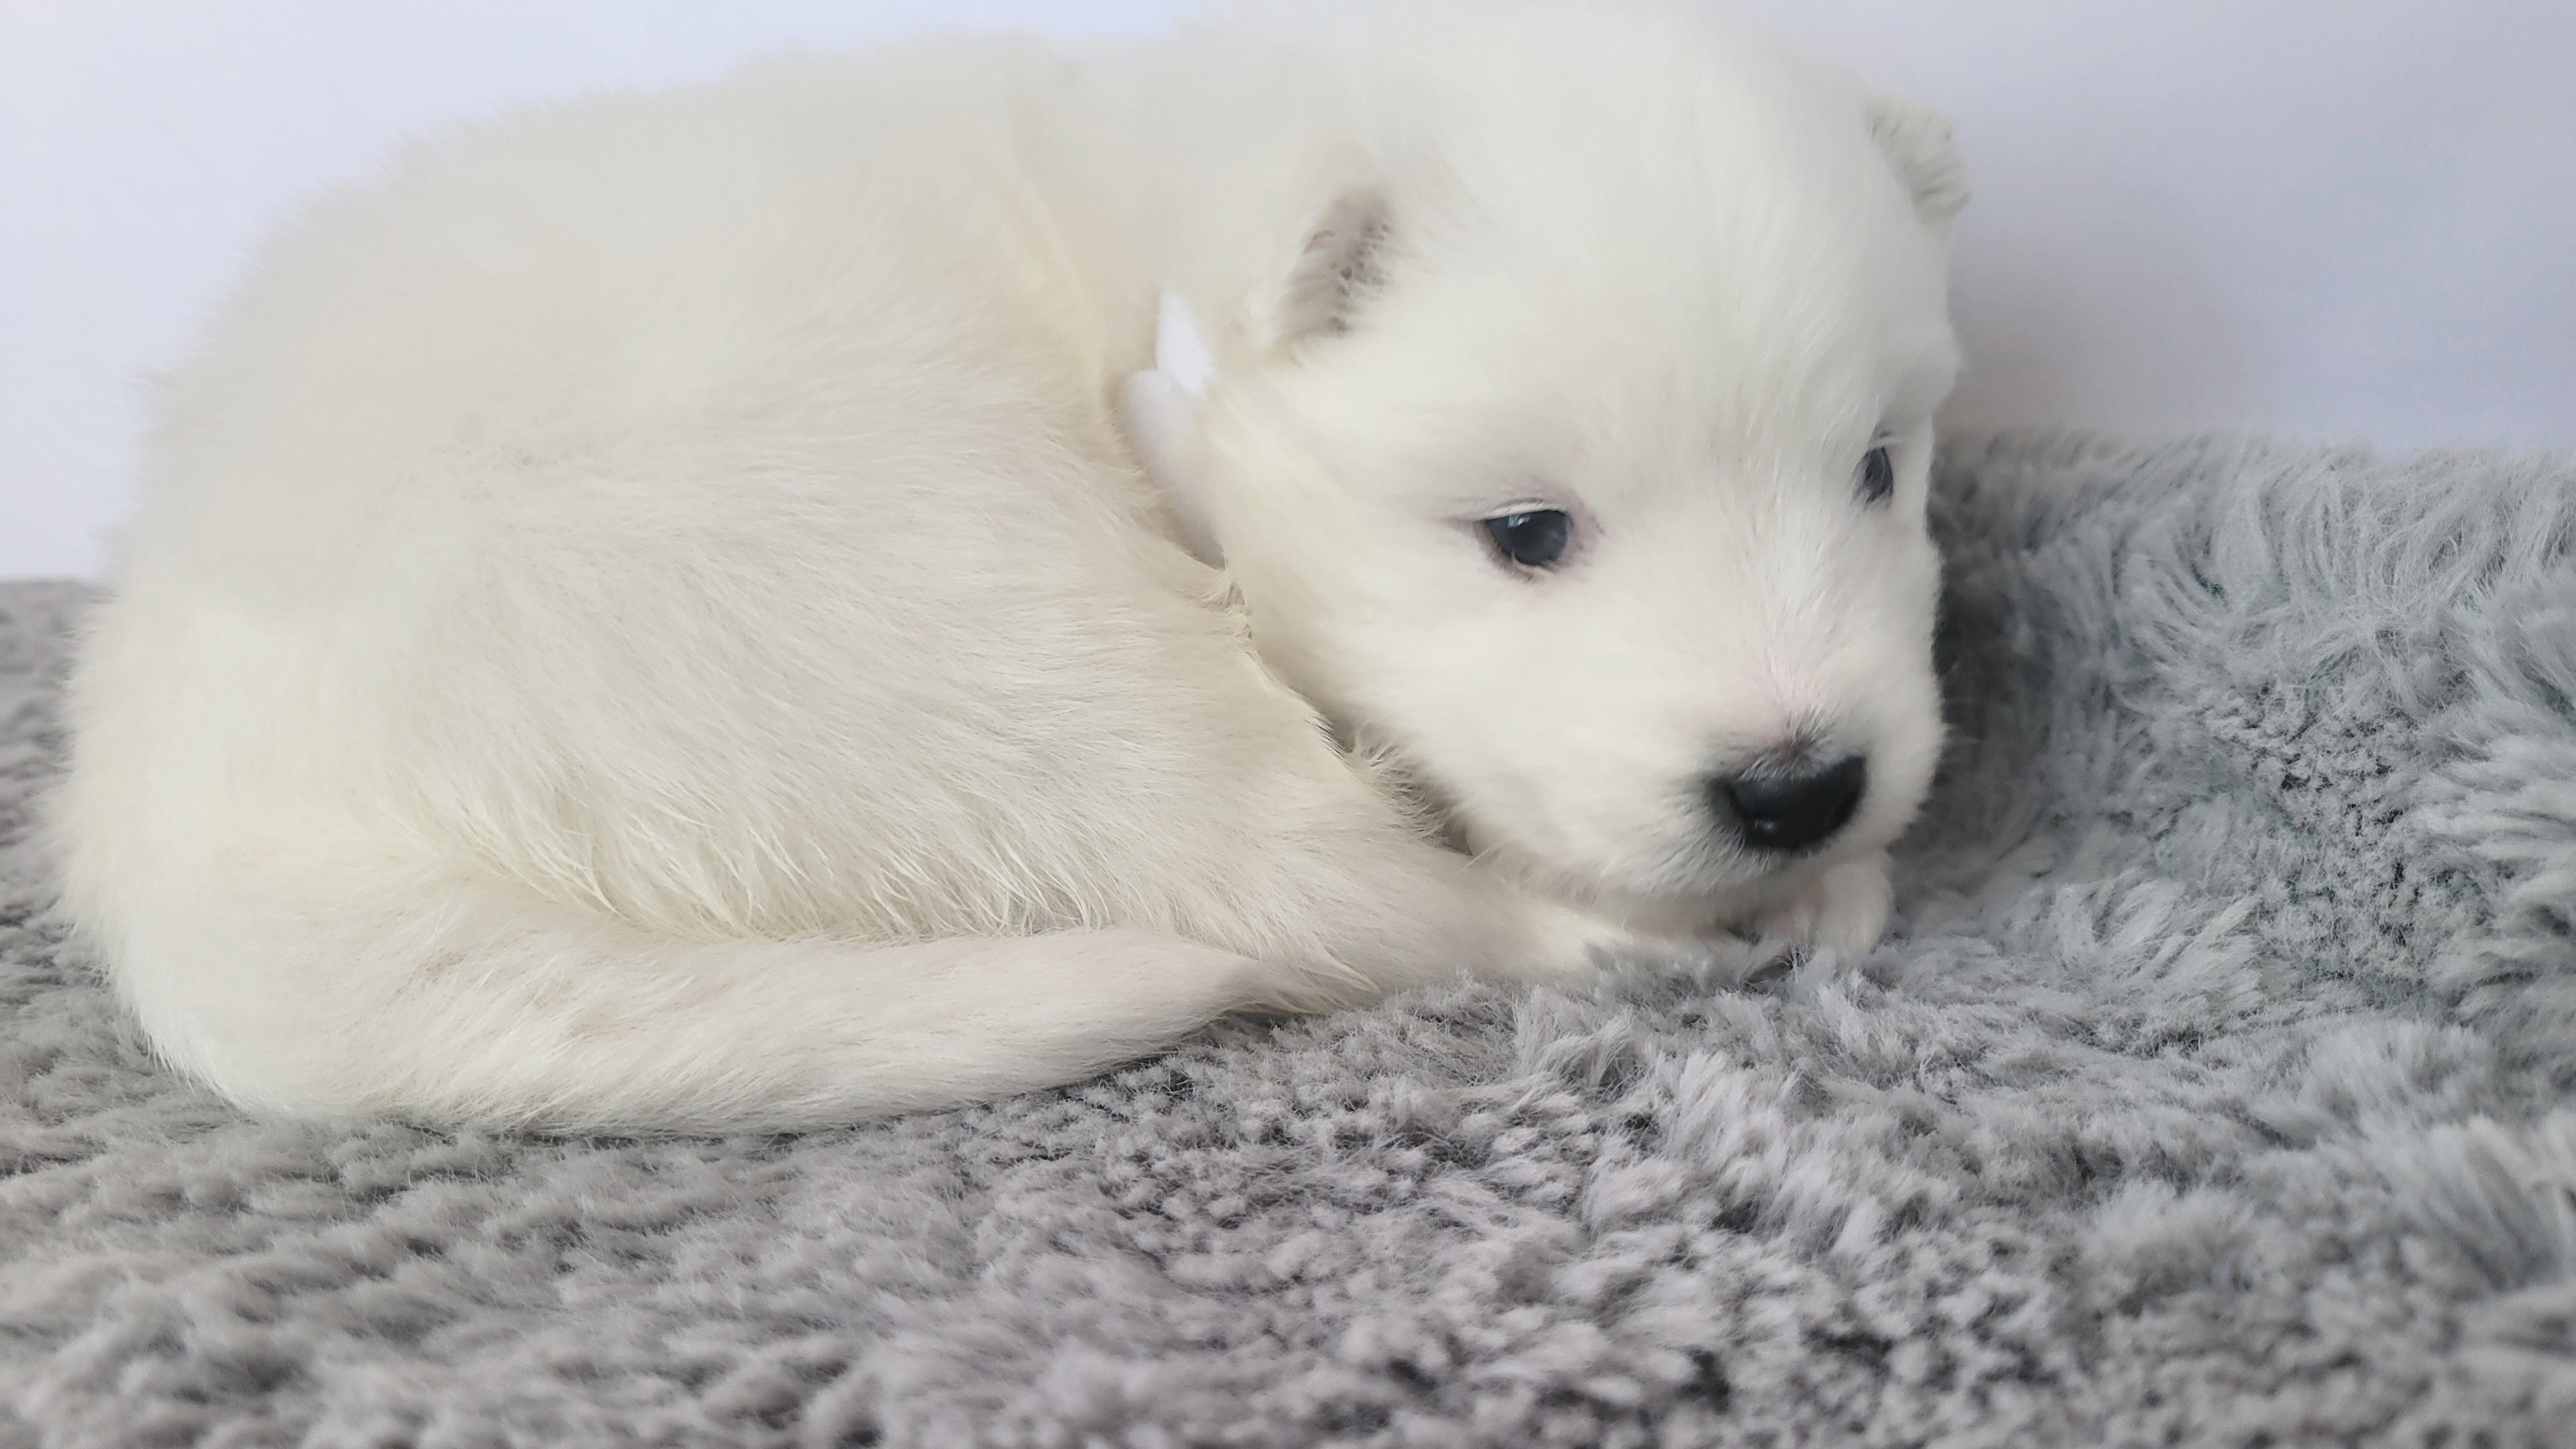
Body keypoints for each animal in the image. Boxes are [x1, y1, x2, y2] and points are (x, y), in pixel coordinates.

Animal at [52, 1, 1967, 1131]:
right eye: (1527, 534)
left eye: (1879, 470)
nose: (1802, 788)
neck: (1128, 280)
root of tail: (188, 830)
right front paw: (1783, 885)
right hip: (946, 623)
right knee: (1325, 896)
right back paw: (1685, 929)